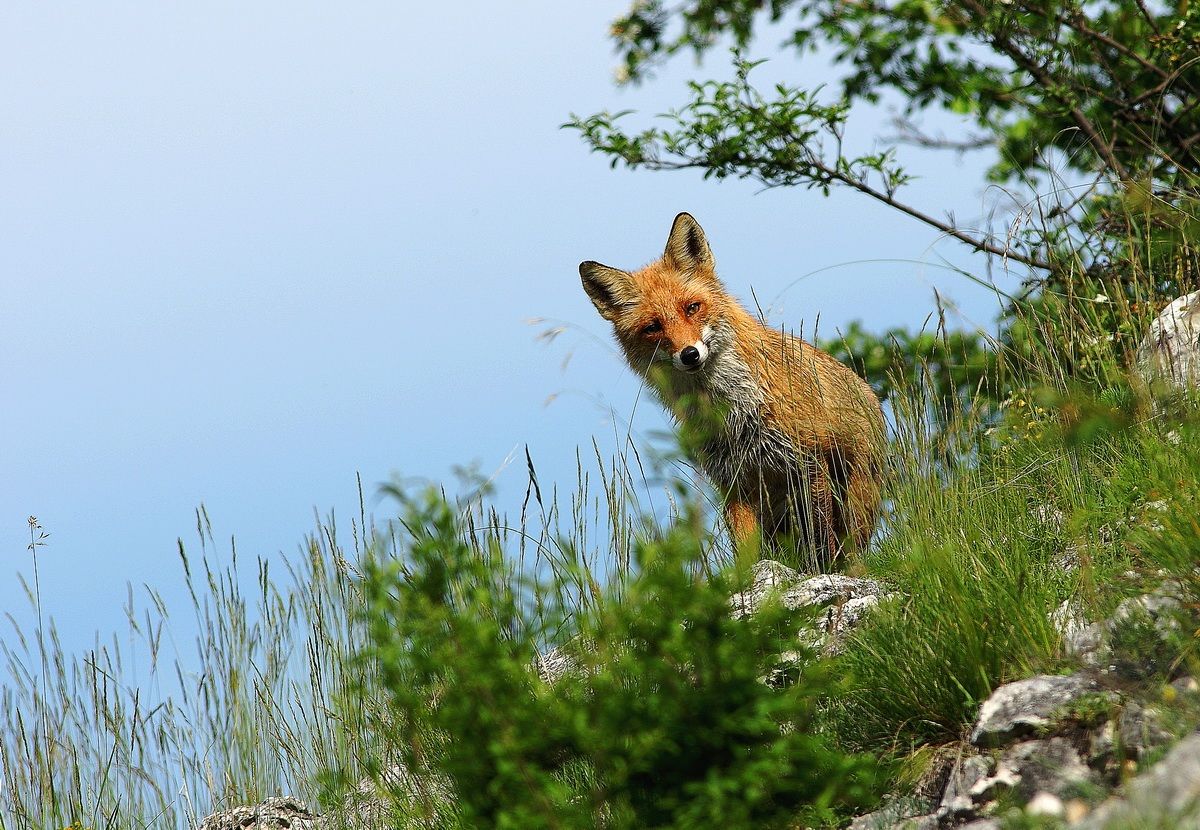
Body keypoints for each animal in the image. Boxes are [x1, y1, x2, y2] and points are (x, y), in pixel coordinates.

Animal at [580, 212, 886, 571]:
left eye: (692, 307)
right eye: (653, 327)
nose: (689, 354)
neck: (736, 412)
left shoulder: (810, 461)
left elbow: (821, 538)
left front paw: (824, 574)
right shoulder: (732, 482)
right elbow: (745, 552)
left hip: (854, 499)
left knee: (849, 545)